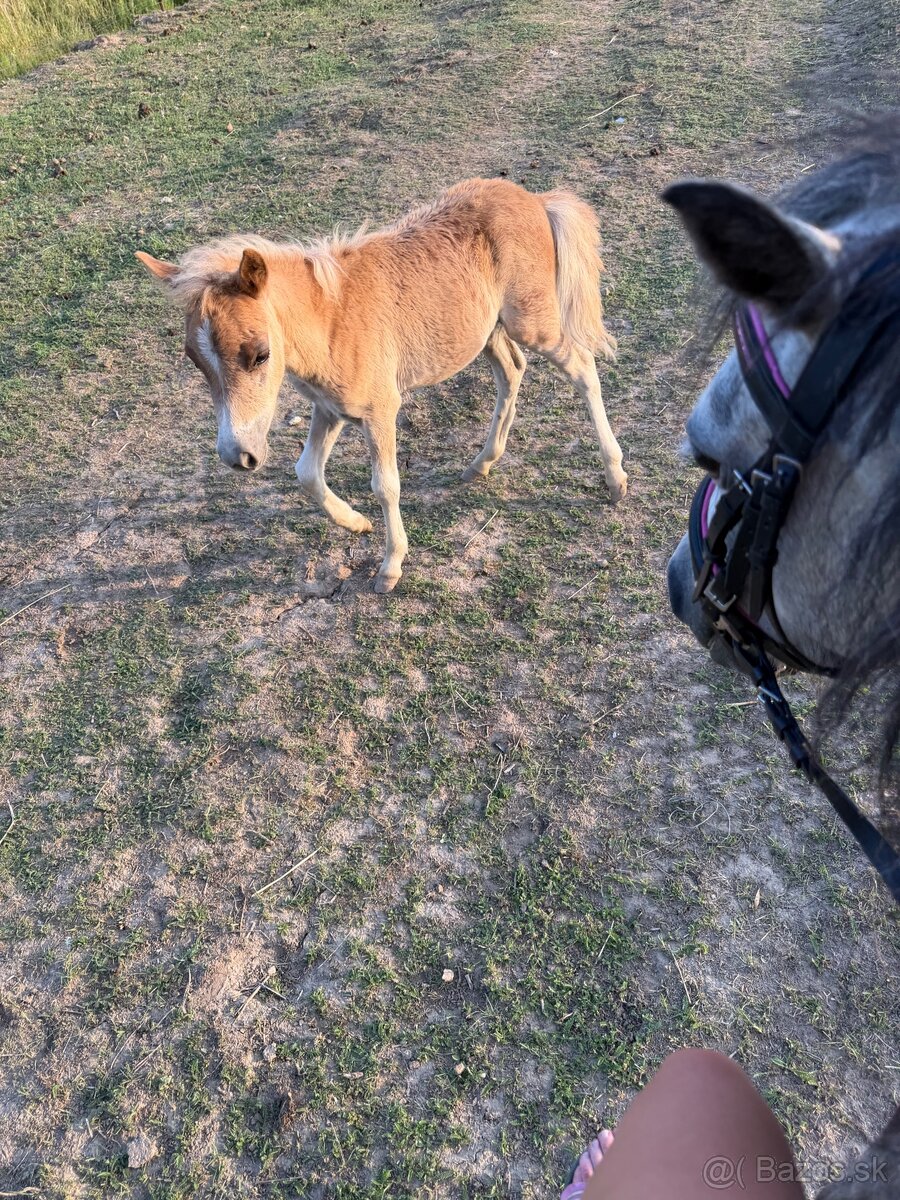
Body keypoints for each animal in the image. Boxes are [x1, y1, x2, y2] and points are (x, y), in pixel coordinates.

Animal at [136, 178, 627, 593]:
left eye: (260, 354)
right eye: (194, 359)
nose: (238, 456)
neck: (332, 321)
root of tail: (535, 199)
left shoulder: (380, 410)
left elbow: (385, 485)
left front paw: (390, 566)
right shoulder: (330, 408)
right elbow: (306, 472)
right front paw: (356, 523)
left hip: (533, 322)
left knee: (583, 369)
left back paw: (615, 477)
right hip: (486, 332)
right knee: (512, 370)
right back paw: (482, 463)